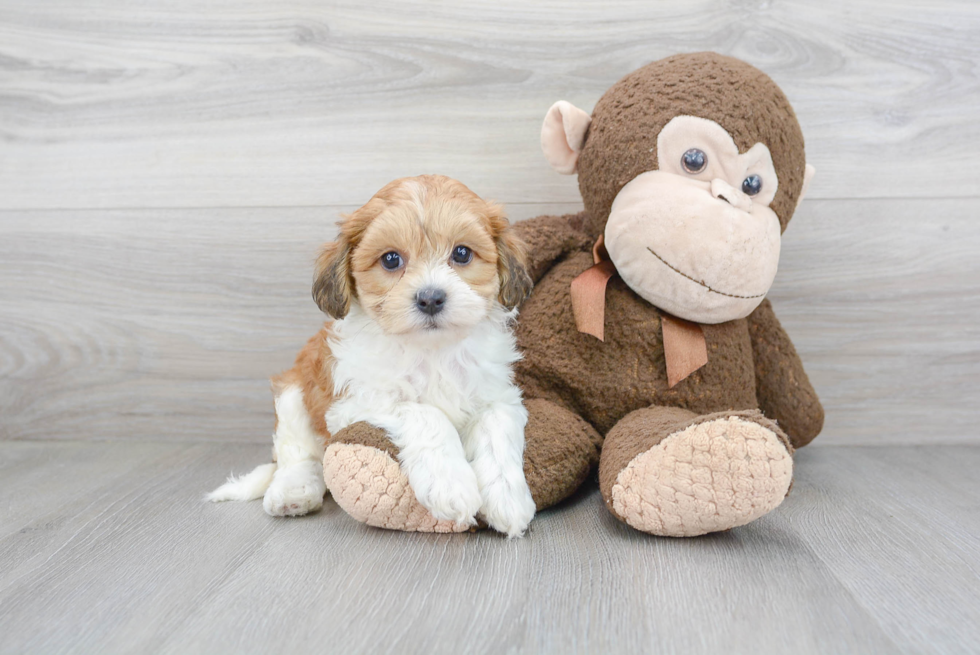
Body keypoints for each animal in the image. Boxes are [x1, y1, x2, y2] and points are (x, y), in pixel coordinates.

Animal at [208, 174, 540, 540]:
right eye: (391, 260)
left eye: (462, 253)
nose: (431, 298)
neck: (430, 350)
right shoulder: (356, 401)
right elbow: (425, 414)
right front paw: (451, 484)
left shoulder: (497, 395)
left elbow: (497, 430)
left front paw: (508, 498)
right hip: (294, 392)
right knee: (298, 453)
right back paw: (293, 491)